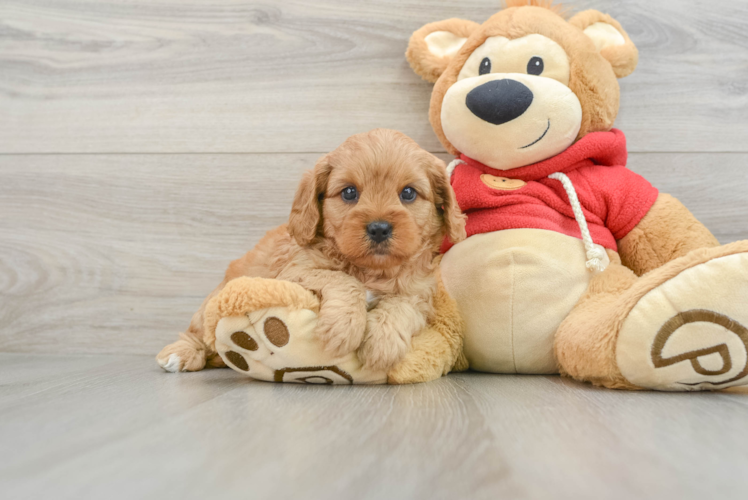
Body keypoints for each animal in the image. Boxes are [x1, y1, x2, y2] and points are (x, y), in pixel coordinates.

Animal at [156, 129, 464, 372]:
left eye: (408, 193)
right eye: (349, 192)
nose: (379, 228)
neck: (371, 269)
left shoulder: (421, 293)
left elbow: (402, 305)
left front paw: (383, 343)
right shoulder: (293, 273)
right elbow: (344, 279)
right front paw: (343, 327)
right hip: (212, 304)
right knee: (199, 333)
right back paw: (180, 354)